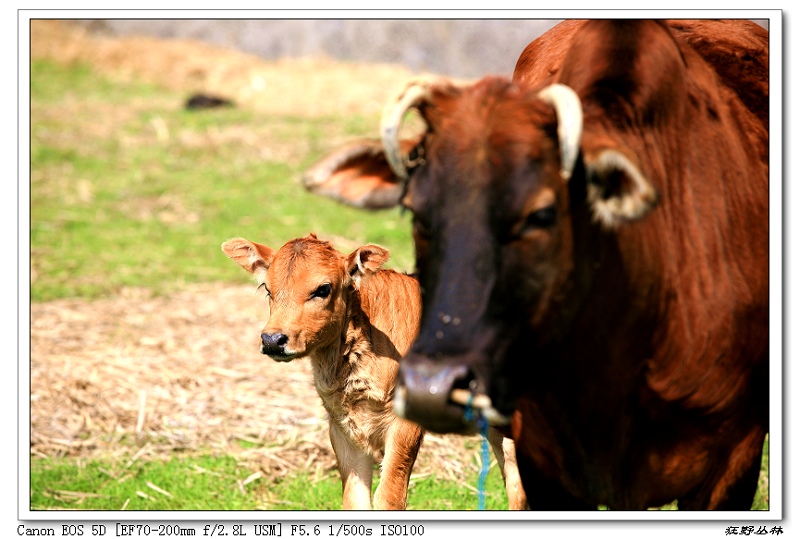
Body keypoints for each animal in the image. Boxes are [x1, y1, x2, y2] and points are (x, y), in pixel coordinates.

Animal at [222, 235, 528, 510]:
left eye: (323, 288)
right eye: (267, 288)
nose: (273, 339)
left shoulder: (406, 422)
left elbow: (389, 497)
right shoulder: (342, 427)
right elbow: (355, 501)